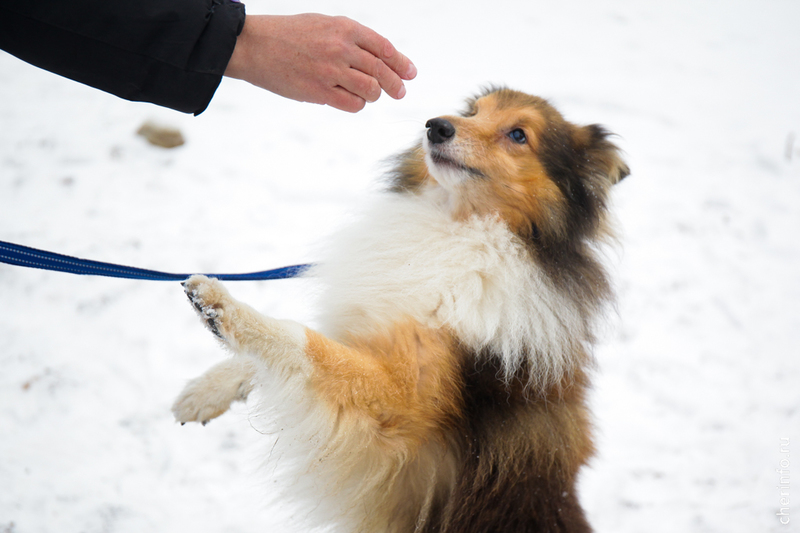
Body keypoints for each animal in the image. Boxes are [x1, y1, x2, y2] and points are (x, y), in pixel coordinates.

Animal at [175, 88, 632, 532]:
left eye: (518, 134)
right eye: (474, 111)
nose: (437, 126)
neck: (455, 226)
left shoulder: (402, 400)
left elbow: (309, 344)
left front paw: (220, 304)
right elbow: (303, 348)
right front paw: (205, 392)